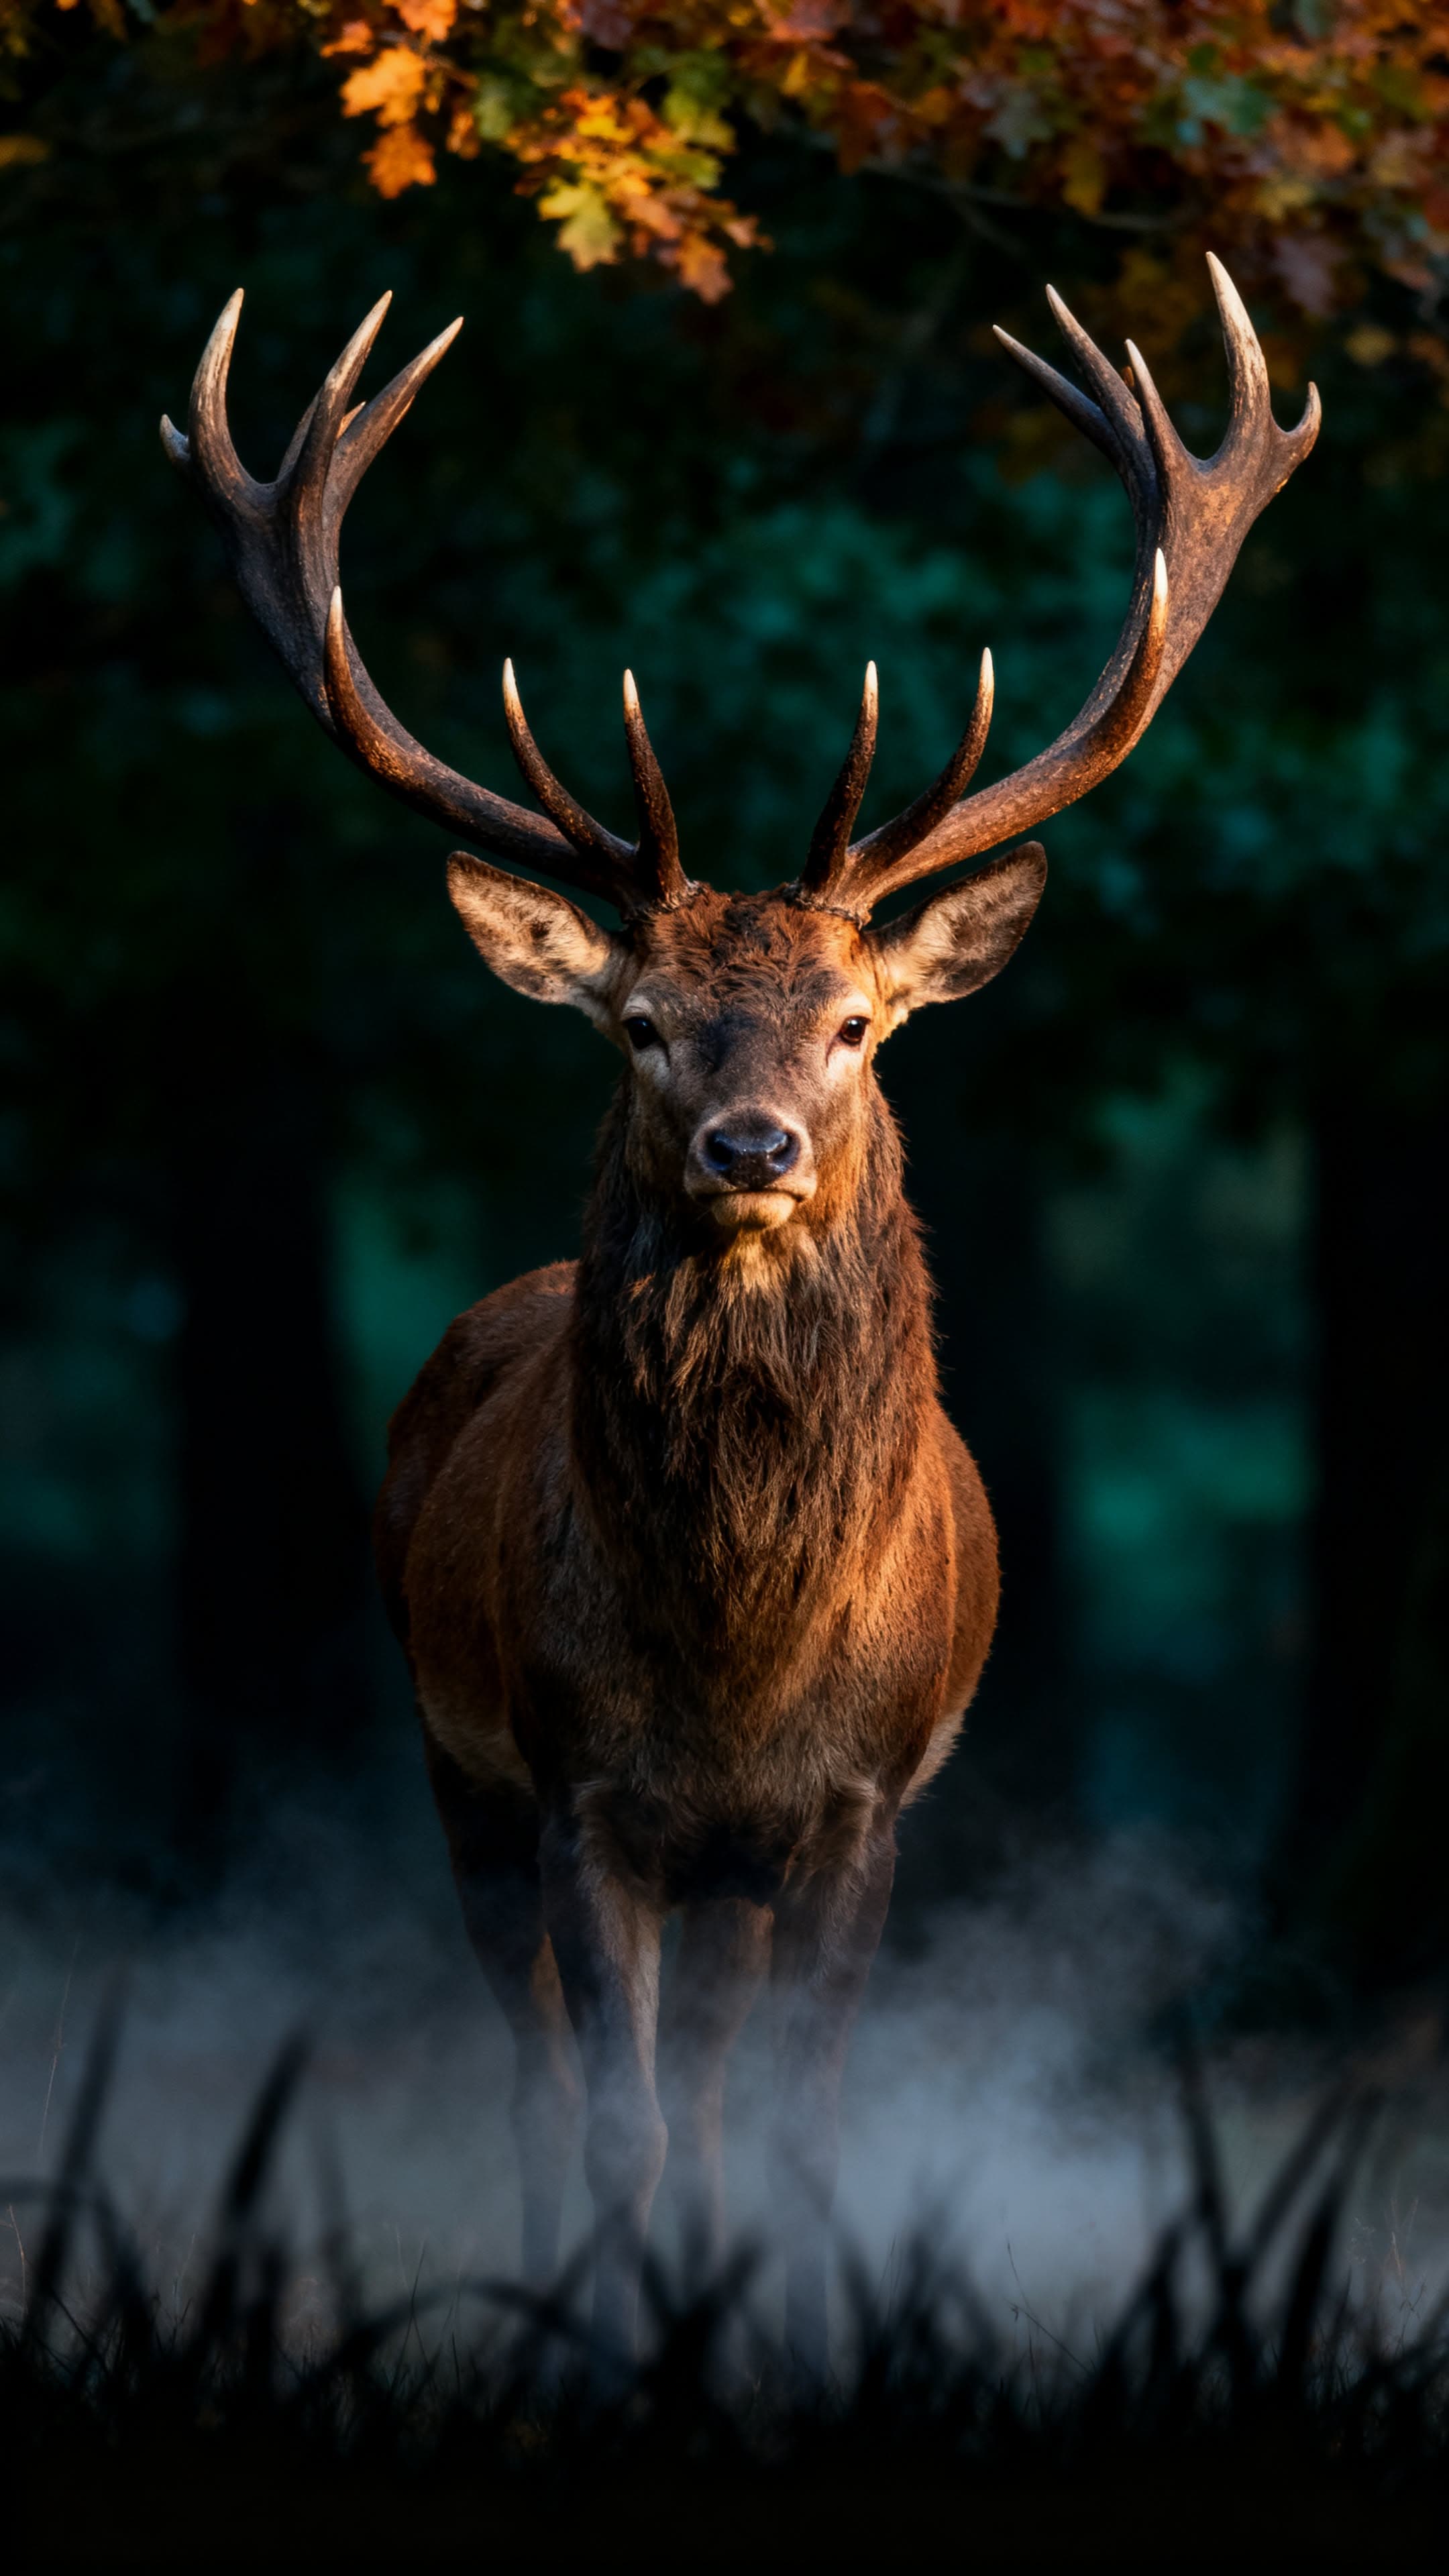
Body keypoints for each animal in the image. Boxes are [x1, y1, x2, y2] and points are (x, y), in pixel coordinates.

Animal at [163, 257, 1317, 2365]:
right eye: (638, 1023)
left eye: (855, 1021)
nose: (752, 1144)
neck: (739, 1656)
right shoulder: (575, 1790)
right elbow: (608, 2109)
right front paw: (627, 2342)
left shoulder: (856, 1808)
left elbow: (792, 2109)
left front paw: (787, 2328)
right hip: (450, 1765)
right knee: (544, 2072)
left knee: (705, 2077)